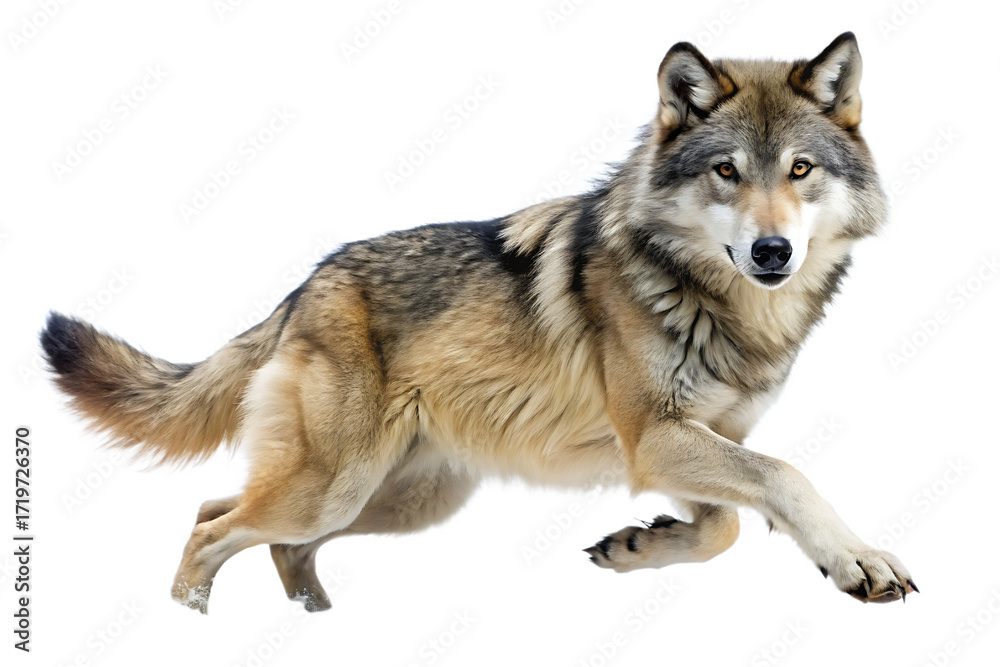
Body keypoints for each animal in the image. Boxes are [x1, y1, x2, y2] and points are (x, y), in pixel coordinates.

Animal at [41, 32, 917, 613]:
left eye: (800, 170)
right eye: (727, 171)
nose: (772, 251)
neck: (728, 308)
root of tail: (304, 286)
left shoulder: (684, 445)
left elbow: (728, 525)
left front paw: (635, 546)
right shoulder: (654, 437)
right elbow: (786, 476)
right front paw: (859, 560)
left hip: (394, 503)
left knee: (254, 527)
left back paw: (313, 613)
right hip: (335, 489)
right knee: (209, 520)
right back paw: (190, 614)